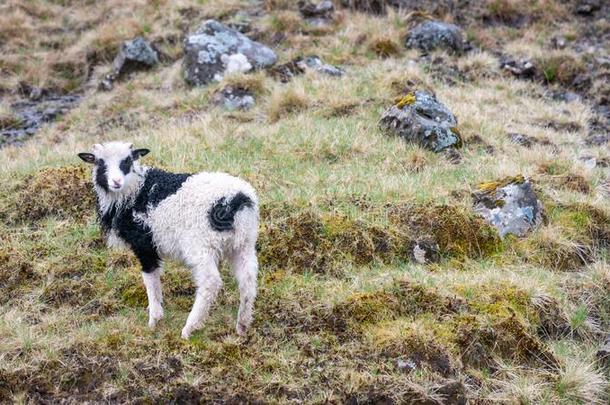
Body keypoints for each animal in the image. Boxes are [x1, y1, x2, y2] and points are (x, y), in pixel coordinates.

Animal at [77, 142, 258, 338]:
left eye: (127, 161)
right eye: (100, 162)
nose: (116, 182)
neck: (133, 191)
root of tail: (237, 200)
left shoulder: (145, 244)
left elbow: (150, 279)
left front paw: (154, 320)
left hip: (200, 245)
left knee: (210, 282)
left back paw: (189, 327)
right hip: (243, 244)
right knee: (248, 280)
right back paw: (242, 325)